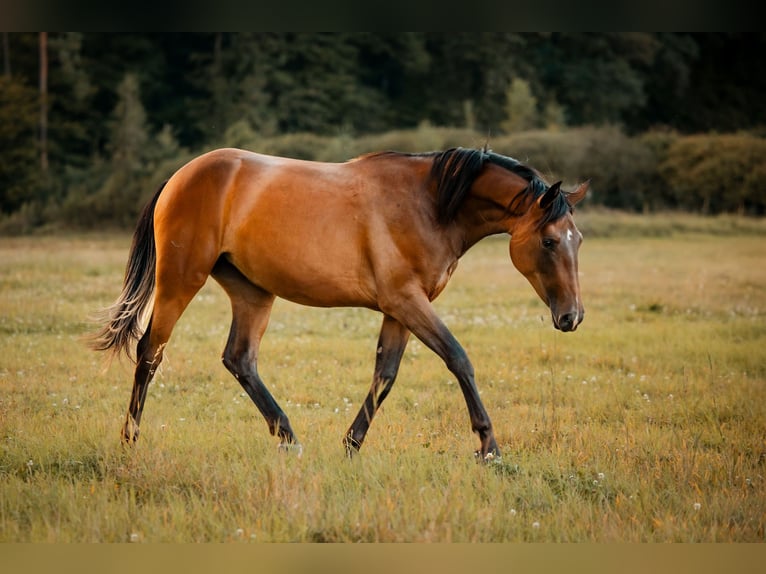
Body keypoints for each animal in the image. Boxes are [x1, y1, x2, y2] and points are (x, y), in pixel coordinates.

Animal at [91, 146, 592, 462]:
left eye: (579, 240)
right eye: (550, 241)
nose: (572, 317)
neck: (429, 204)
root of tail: (179, 177)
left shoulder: (400, 309)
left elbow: (385, 375)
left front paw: (351, 444)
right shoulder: (407, 301)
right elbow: (458, 359)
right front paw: (489, 447)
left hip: (253, 292)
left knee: (240, 359)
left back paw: (289, 438)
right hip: (180, 281)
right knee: (149, 354)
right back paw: (130, 440)